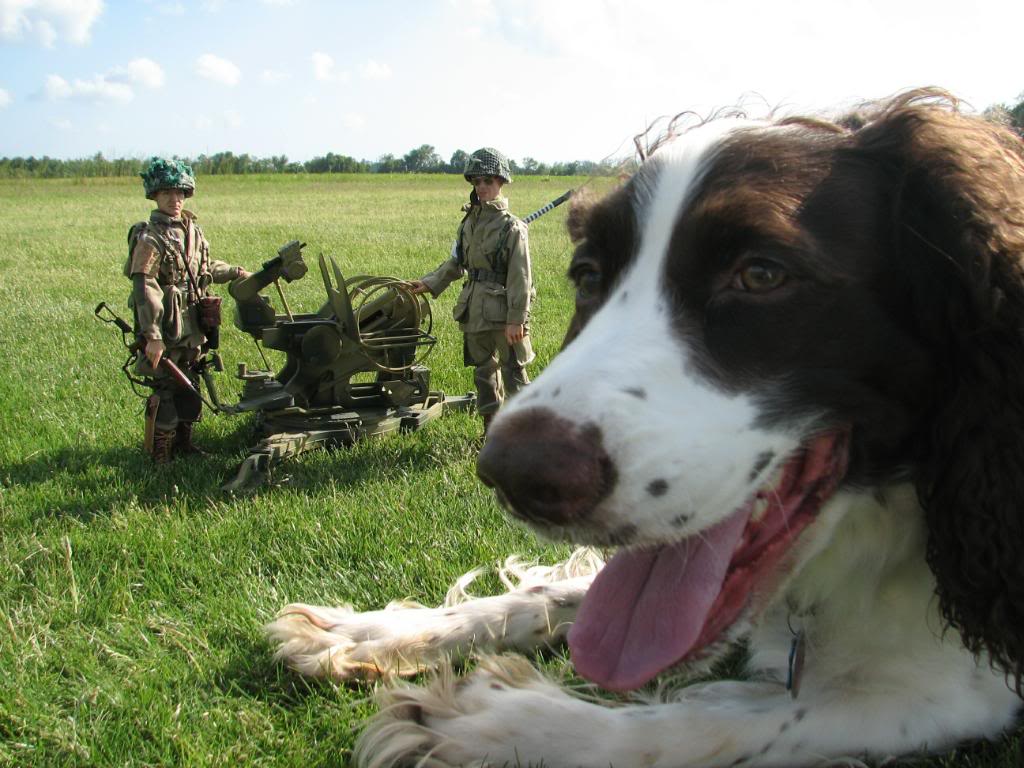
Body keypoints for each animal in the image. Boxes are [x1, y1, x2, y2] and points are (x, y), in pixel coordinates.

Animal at [266, 91, 1024, 768]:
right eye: (587, 275)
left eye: (761, 274)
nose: (513, 475)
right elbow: (563, 592)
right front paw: (376, 629)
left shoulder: (947, 688)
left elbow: (715, 724)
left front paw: (496, 723)